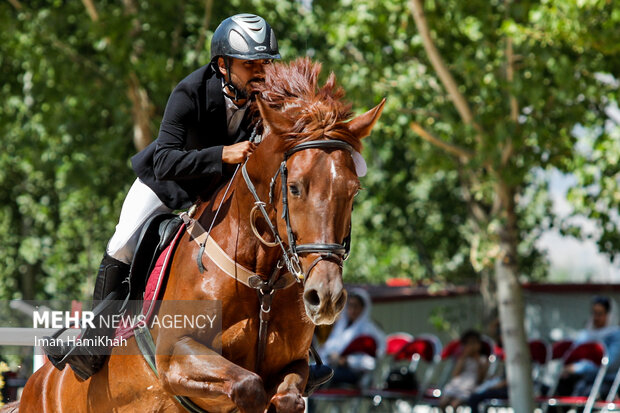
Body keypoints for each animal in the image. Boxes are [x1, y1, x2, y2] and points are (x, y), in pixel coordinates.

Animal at [13, 58, 382, 412]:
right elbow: (249, 387)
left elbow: (285, 397)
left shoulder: (292, 365)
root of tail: (35, 385)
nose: (326, 296)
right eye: (294, 188)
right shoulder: (176, 357)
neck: (261, 281)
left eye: (354, 191)